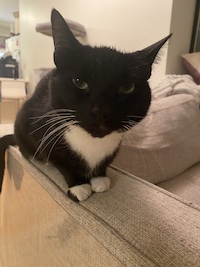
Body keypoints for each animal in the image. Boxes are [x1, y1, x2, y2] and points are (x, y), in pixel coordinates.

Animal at [0, 7, 172, 201]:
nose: (101, 110)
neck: (92, 143)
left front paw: (100, 178)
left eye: (127, 87)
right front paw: (78, 185)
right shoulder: (44, 129)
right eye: (79, 81)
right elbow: (60, 162)